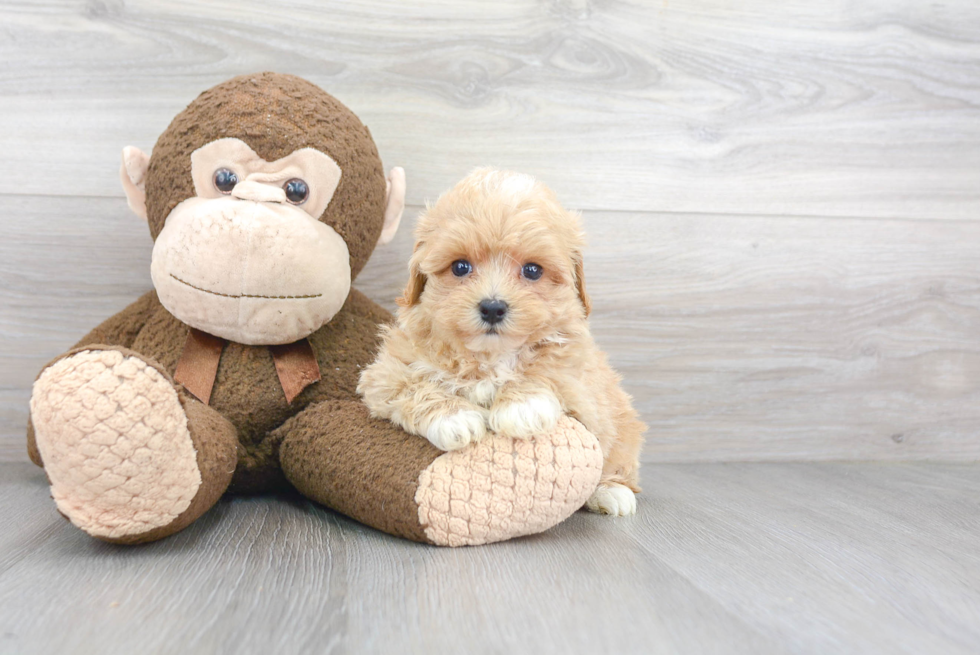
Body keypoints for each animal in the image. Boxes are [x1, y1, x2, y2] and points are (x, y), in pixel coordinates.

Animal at [356, 167, 648, 516]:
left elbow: (551, 370)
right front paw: (454, 417)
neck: (488, 357)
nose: (493, 308)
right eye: (460, 267)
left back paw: (612, 492)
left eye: (533, 270)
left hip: (622, 424)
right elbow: (413, 385)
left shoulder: (584, 384)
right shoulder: (387, 371)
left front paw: (520, 405)